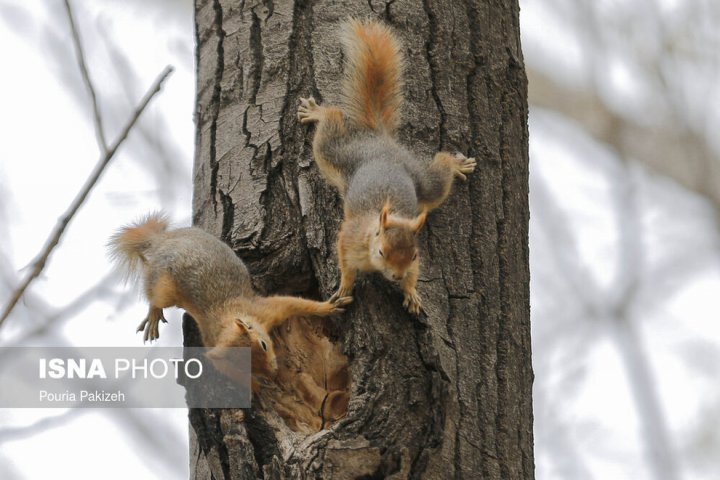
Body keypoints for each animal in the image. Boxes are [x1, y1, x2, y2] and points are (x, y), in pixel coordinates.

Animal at [107, 213, 352, 386]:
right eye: (244, 365)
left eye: (264, 345)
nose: (273, 371)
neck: (229, 318)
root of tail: (159, 241)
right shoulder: (214, 346)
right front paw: (255, 386)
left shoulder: (263, 309)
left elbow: (295, 303)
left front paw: (329, 306)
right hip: (164, 286)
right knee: (154, 297)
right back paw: (154, 314)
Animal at [296, 18, 476, 314]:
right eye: (382, 251)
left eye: (413, 255)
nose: (396, 275)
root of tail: (382, 143)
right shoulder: (348, 239)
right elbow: (345, 265)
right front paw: (344, 288)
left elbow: (415, 277)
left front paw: (411, 292)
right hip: (336, 154)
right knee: (330, 122)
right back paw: (317, 111)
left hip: (424, 182)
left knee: (440, 170)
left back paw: (457, 163)